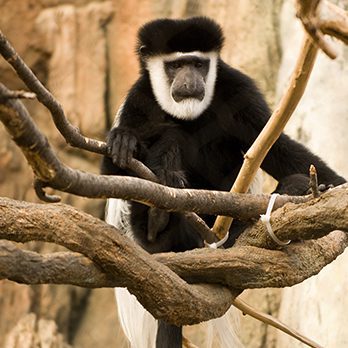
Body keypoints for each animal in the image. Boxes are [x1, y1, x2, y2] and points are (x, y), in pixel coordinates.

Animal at [101, 17, 346, 348]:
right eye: (175, 66)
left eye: (198, 64)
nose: (190, 82)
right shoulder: (138, 101)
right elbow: (113, 173)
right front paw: (126, 142)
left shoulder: (239, 90)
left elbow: (276, 145)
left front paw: (333, 186)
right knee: (169, 137)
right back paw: (156, 220)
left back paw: (293, 191)